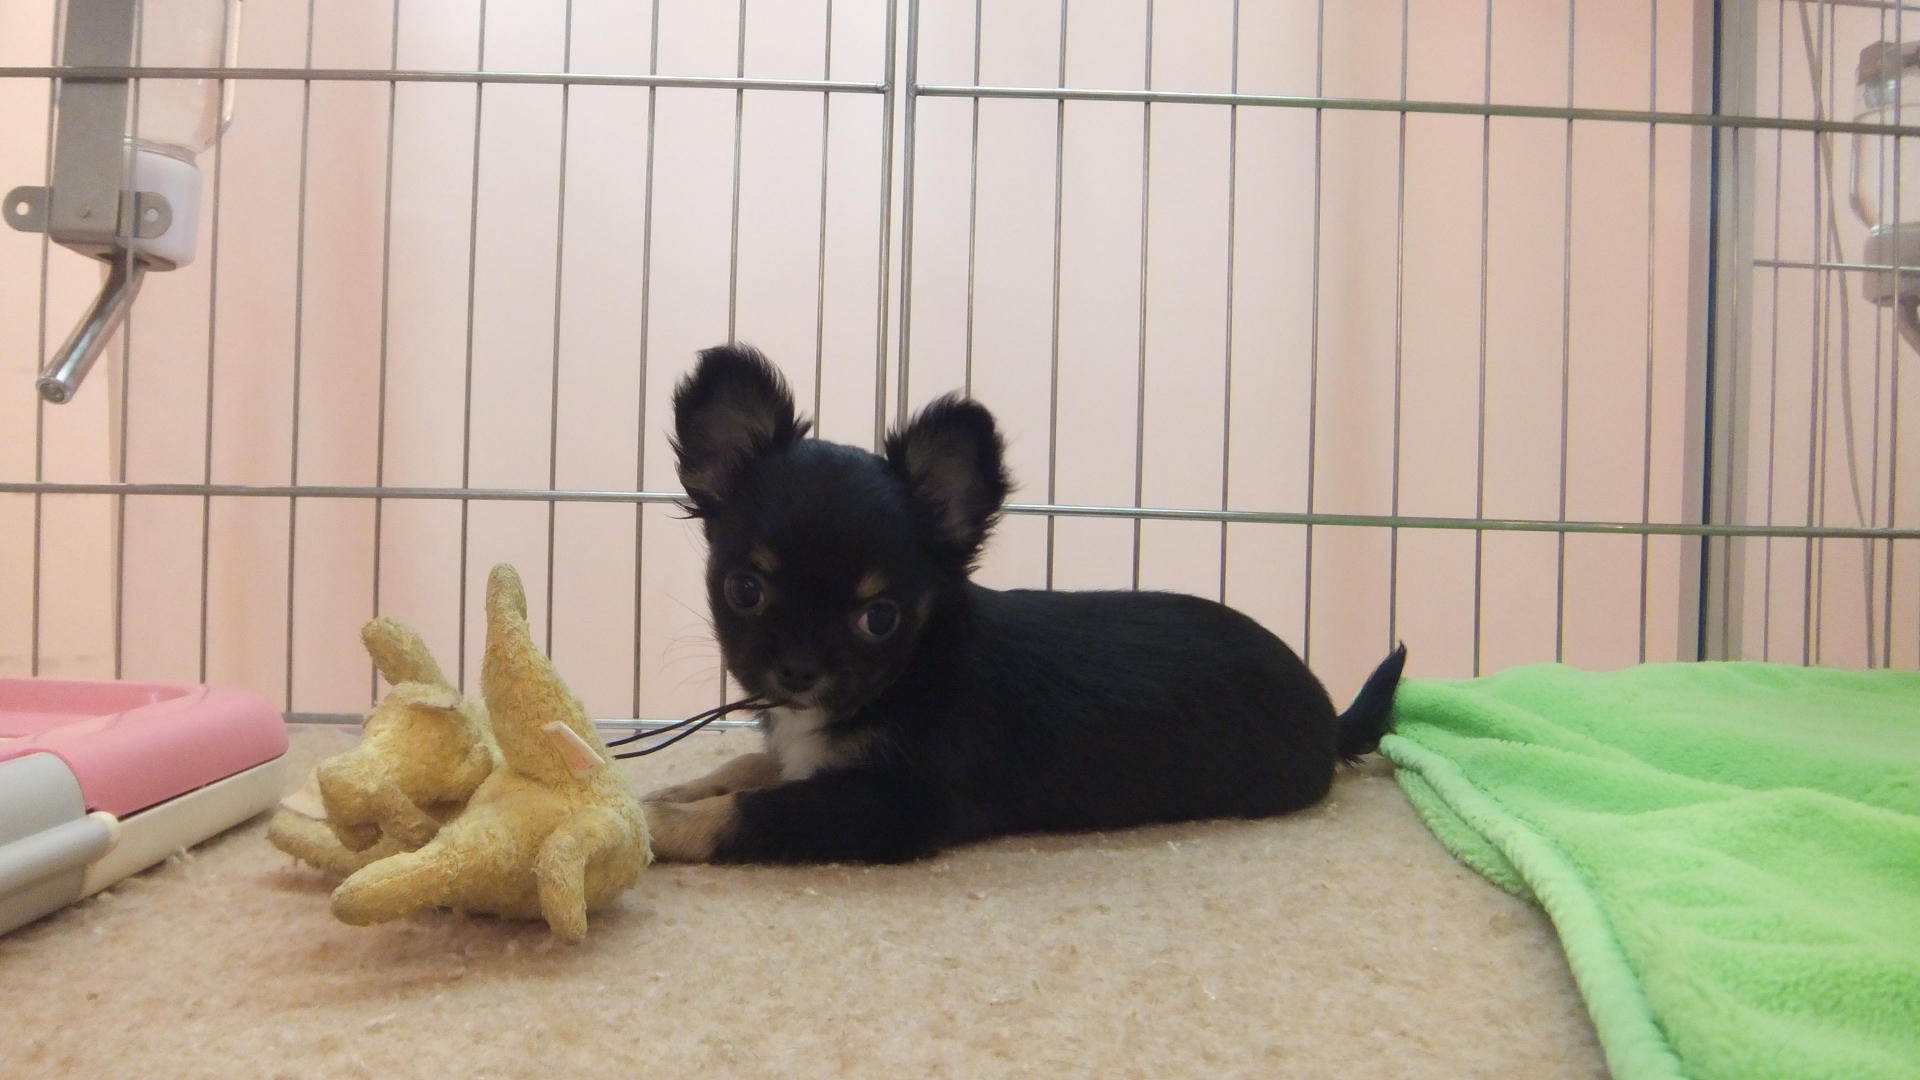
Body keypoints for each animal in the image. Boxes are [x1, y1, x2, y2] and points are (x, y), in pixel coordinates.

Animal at [641, 345, 1407, 863]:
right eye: (745, 589)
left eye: (879, 618)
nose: (798, 671)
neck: (910, 669)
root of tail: (1330, 716)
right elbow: (747, 770)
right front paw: (675, 790)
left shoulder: (893, 804)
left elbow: (750, 811)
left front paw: (655, 827)